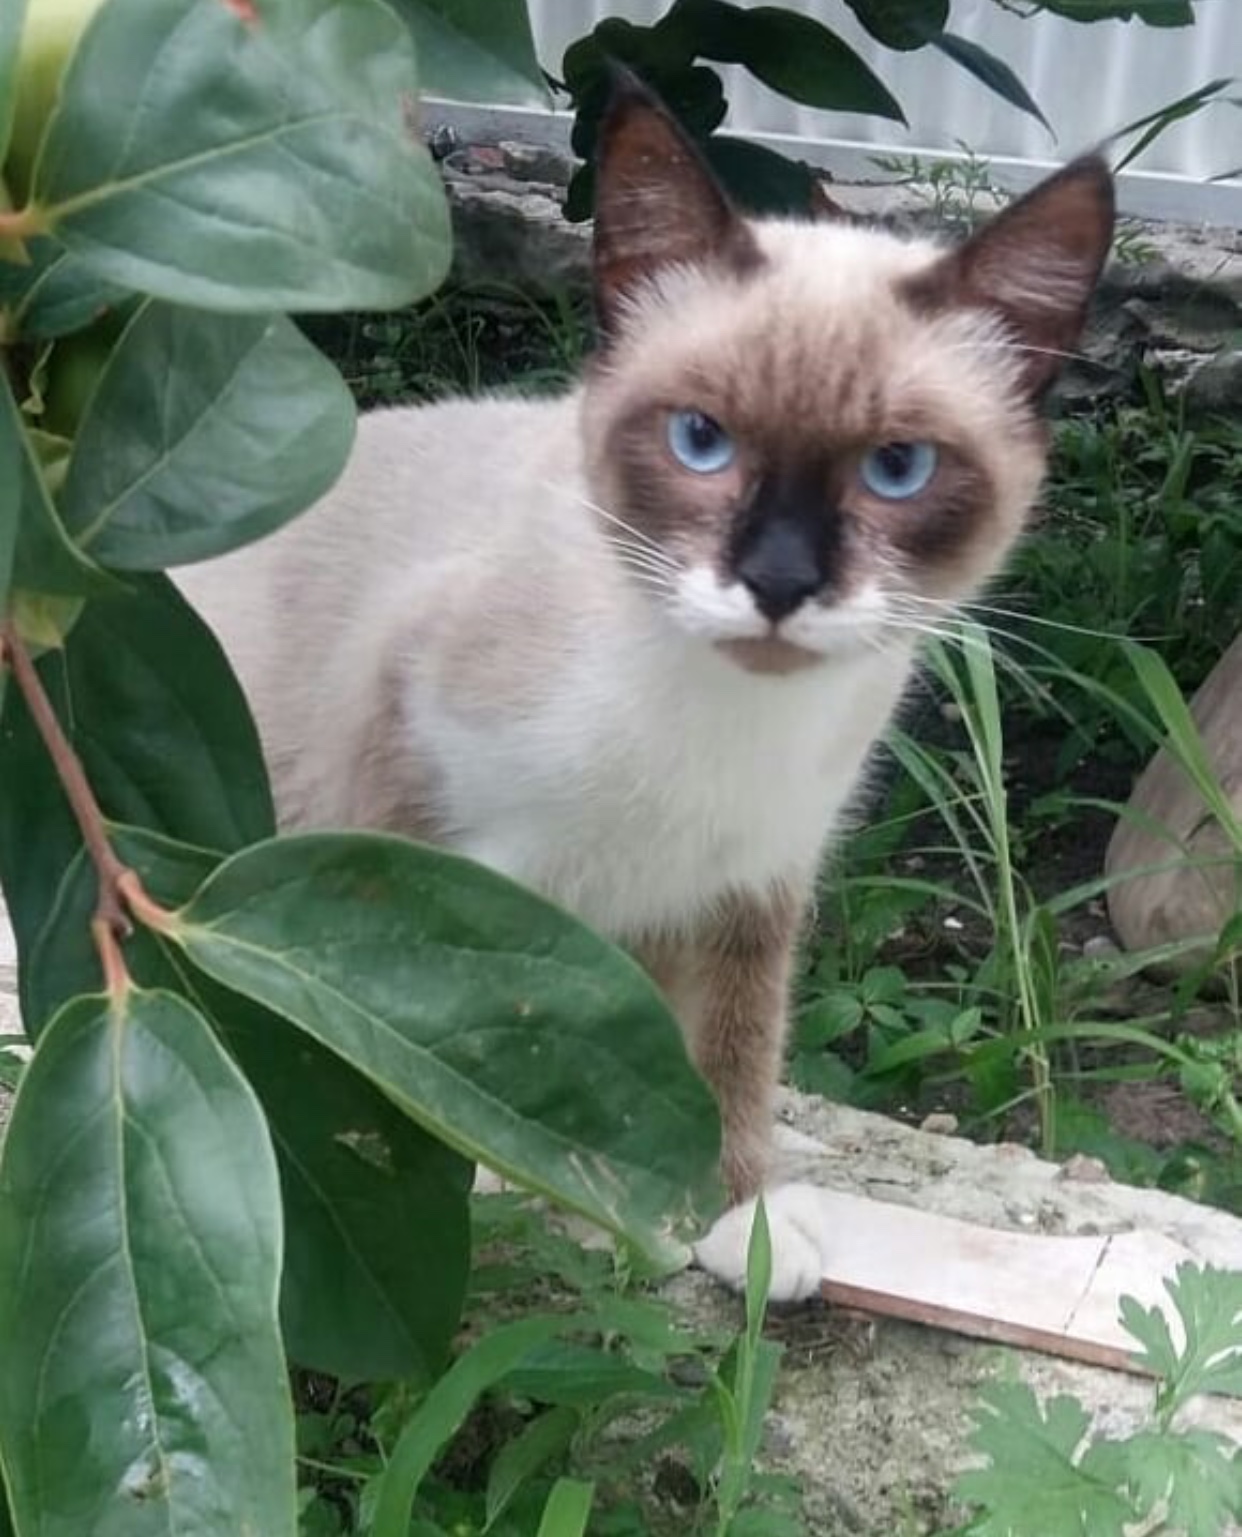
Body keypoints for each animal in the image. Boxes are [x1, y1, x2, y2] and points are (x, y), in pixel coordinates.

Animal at [182, 74, 1112, 1297]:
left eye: (897, 468)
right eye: (700, 441)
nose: (778, 583)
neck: (719, 721)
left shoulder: (751, 881)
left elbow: (732, 1054)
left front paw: (738, 1224)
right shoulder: (423, 842)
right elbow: (441, 1035)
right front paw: (487, 1176)